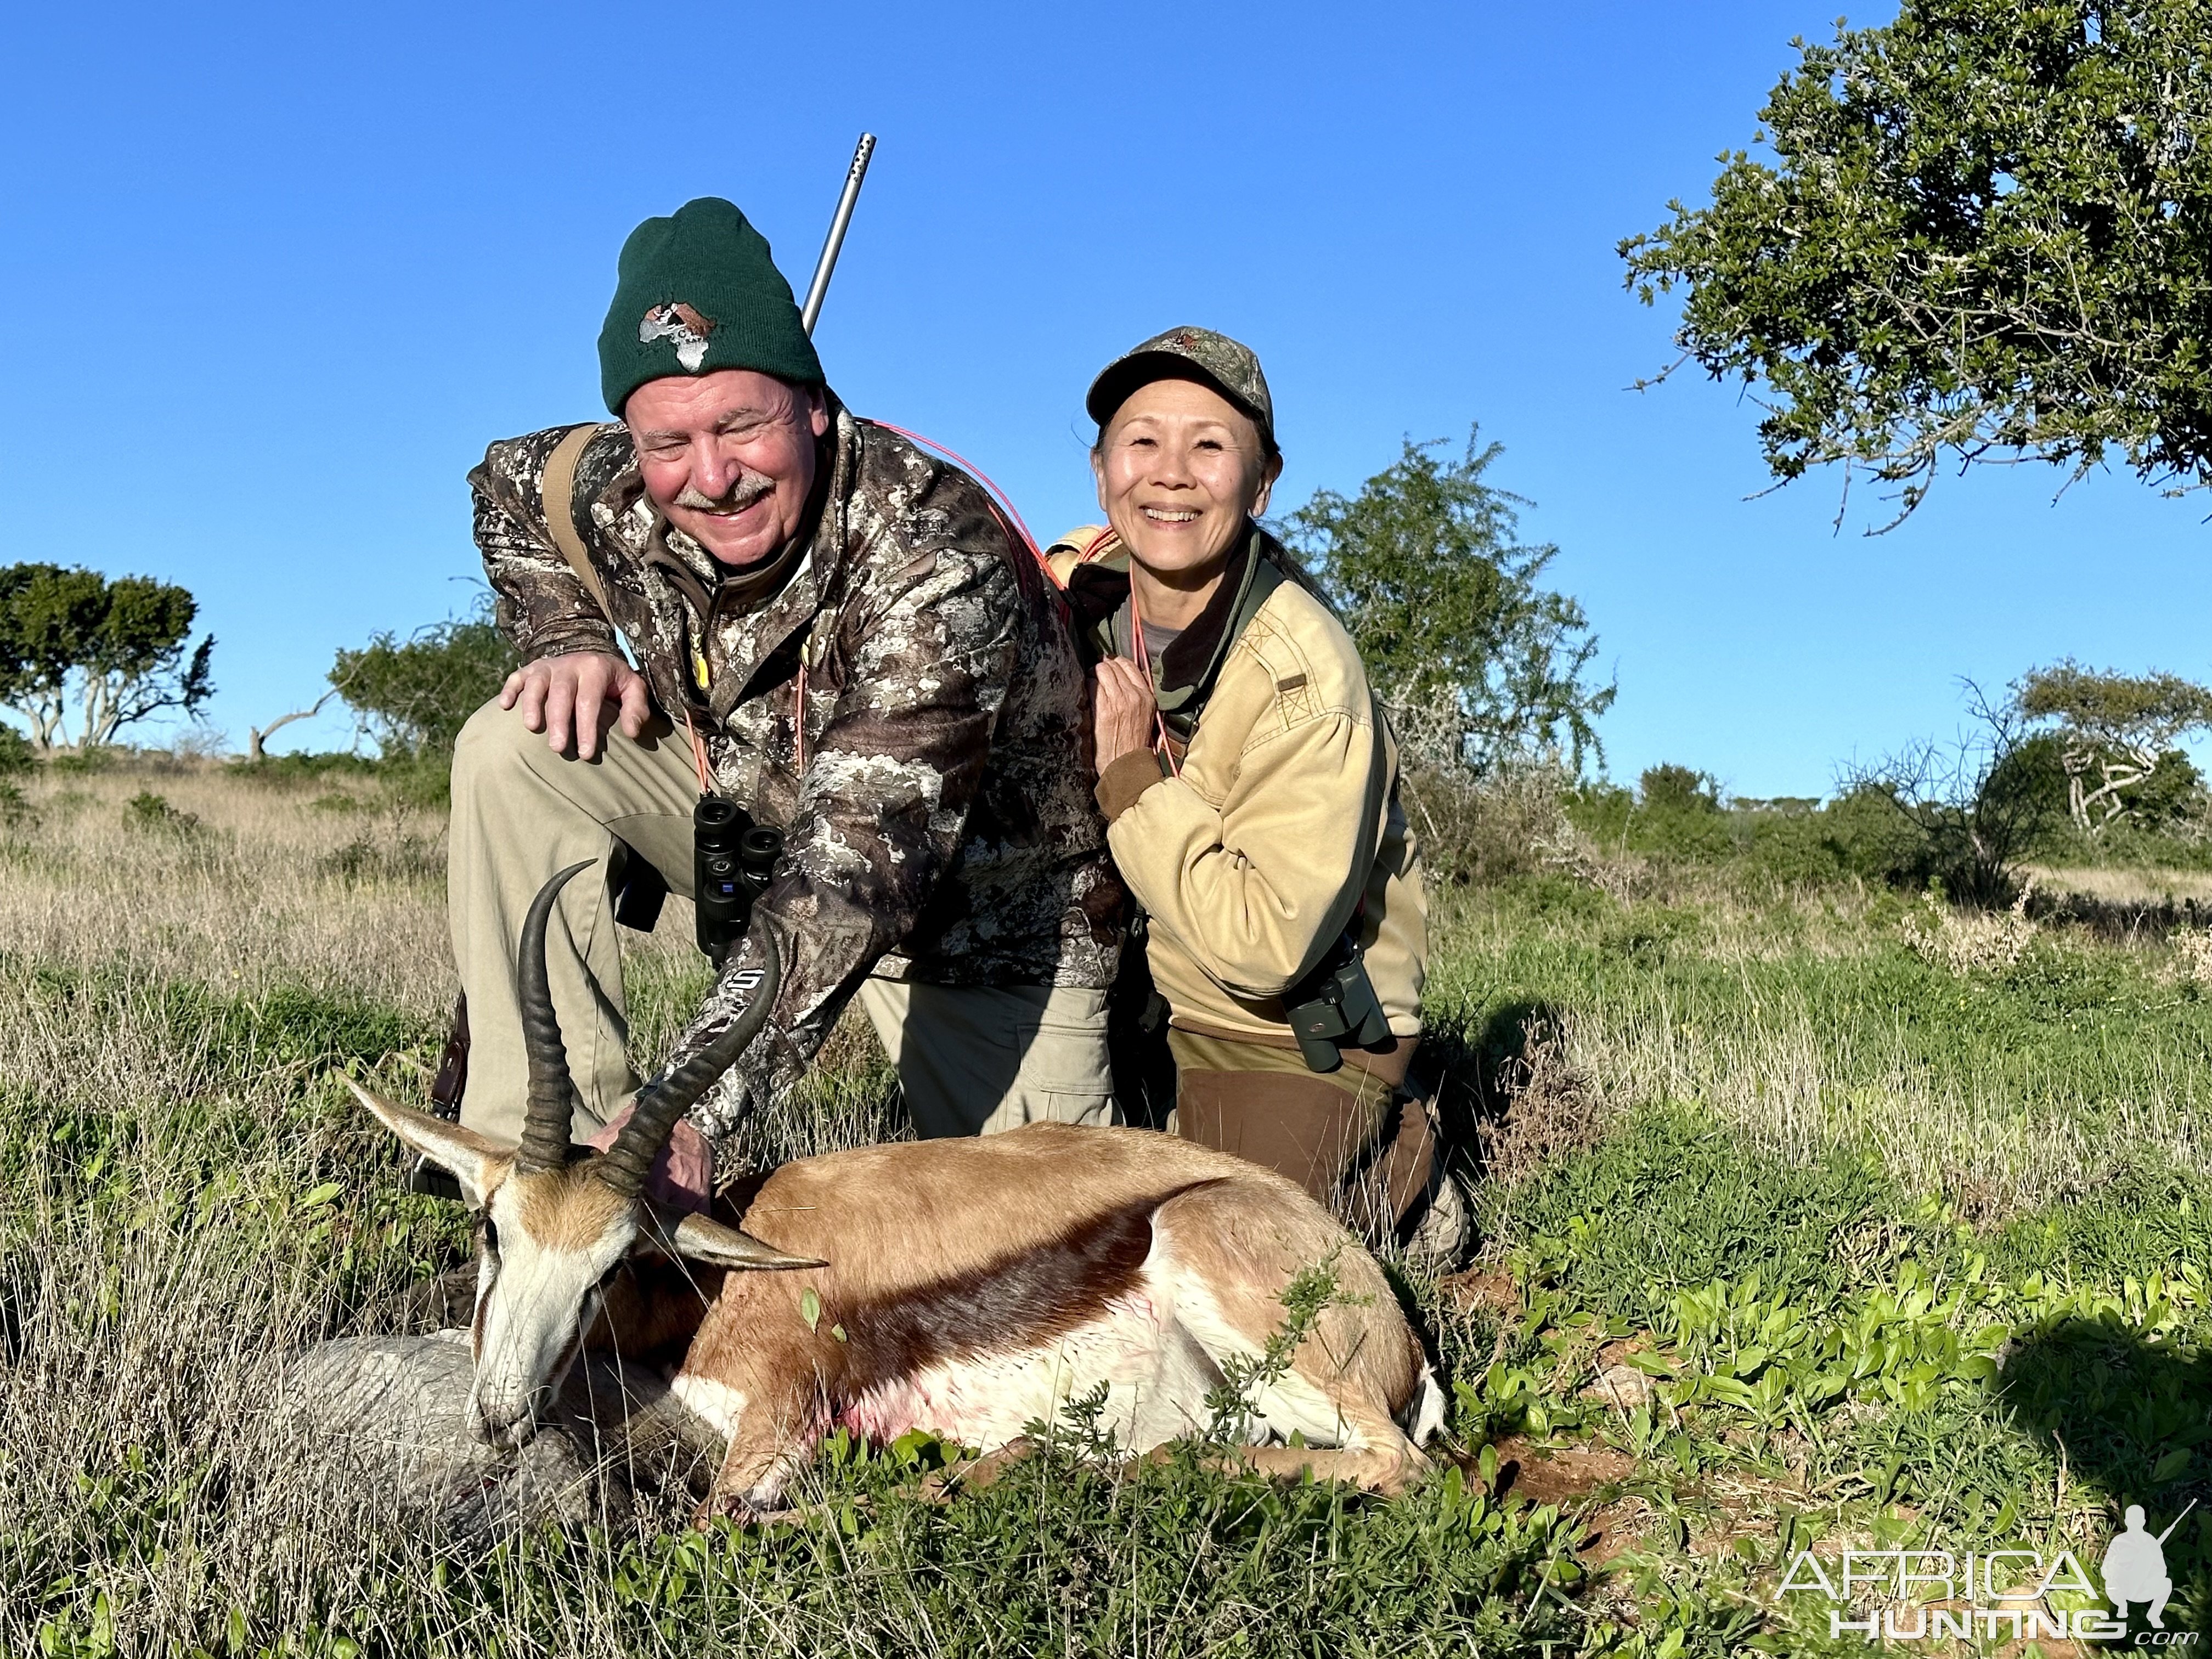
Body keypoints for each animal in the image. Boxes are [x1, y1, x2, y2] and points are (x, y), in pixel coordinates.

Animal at [354, 871, 1442, 1522]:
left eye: (614, 1262)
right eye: (492, 1230)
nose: (501, 1415)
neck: (715, 1291)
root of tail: (1389, 1317)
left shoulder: (781, 1428)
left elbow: (712, 1521)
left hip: (1228, 1285)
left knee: (1397, 1462)